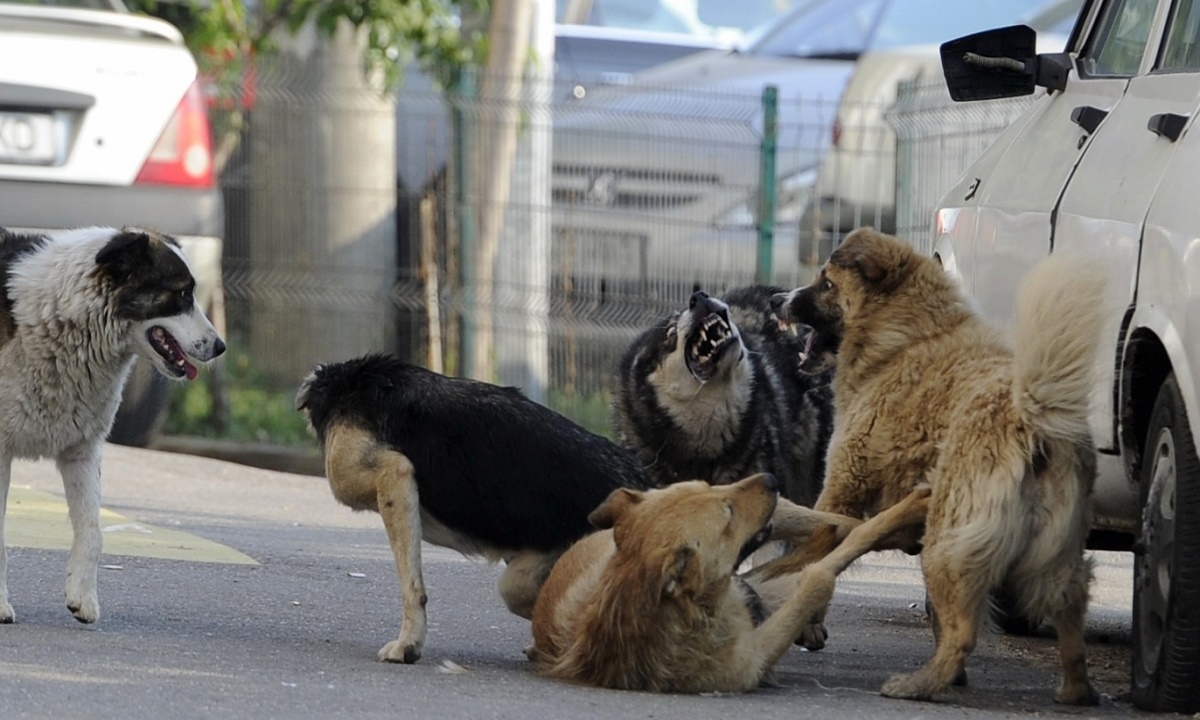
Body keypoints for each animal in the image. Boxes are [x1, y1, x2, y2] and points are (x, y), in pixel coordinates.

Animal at [530, 472, 931, 691]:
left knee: (835, 524)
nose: (771, 478)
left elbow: (844, 541)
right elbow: (821, 575)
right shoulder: (757, 654)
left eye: (709, 486)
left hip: (780, 528)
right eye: (727, 514)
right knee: (840, 536)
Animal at [772, 229, 1108, 700]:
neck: (906, 337)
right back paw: (1075, 691)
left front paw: (807, 624)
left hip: (947, 543)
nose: (776, 300)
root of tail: (1032, 416)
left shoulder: (841, 489)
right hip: (1054, 555)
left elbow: (819, 553)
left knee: (965, 632)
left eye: (827, 283)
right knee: (1069, 624)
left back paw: (917, 684)